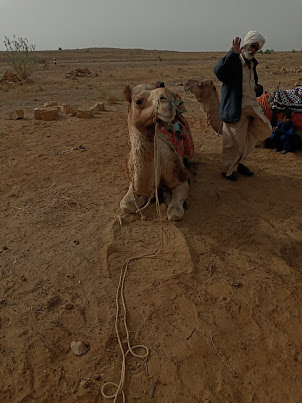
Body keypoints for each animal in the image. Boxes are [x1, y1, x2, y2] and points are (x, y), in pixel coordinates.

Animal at [120, 82, 193, 221]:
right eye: (138, 101)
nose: (167, 98)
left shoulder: (180, 175)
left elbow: (175, 212)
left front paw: (167, 197)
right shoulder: (133, 180)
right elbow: (126, 205)